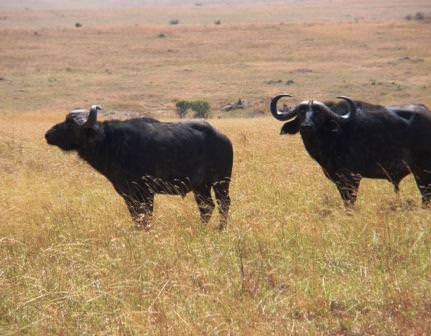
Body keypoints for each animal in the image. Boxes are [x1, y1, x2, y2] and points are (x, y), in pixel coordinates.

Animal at [45, 106, 233, 230]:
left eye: (69, 125)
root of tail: (224, 138)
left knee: (223, 203)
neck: (112, 143)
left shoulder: (146, 192)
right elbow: (136, 217)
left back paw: (221, 229)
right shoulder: (128, 194)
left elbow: (145, 217)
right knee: (206, 207)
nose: (48, 134)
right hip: (201, 187)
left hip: (221, 182)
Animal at [272, 94, 431, 205]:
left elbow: (350, 202)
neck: (333, 137)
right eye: (300, 113)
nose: (306, 127)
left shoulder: (351, 178)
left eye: (319, 114)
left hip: (422, 172)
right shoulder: (338, 179)